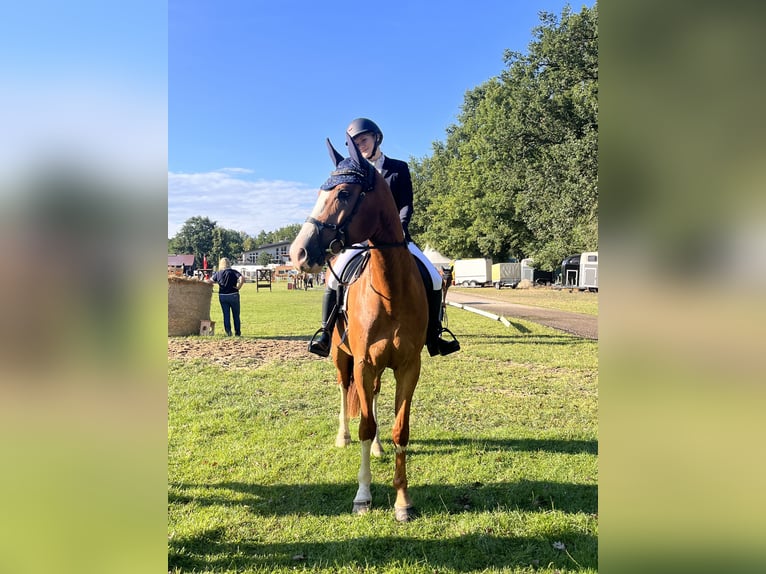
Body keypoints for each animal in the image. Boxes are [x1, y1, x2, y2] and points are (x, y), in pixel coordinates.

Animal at [289, 133, 428, 522]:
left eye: (344, 194)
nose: (297, 253)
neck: (390, 290)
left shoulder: (408, 366)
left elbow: (399, 429)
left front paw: (402, 502)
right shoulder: (363, 363)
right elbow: (365, 424)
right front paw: (363, 496)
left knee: (375, 400)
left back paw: (378, 448)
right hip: (341, 356)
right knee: (343, 390)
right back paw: (343, 437)